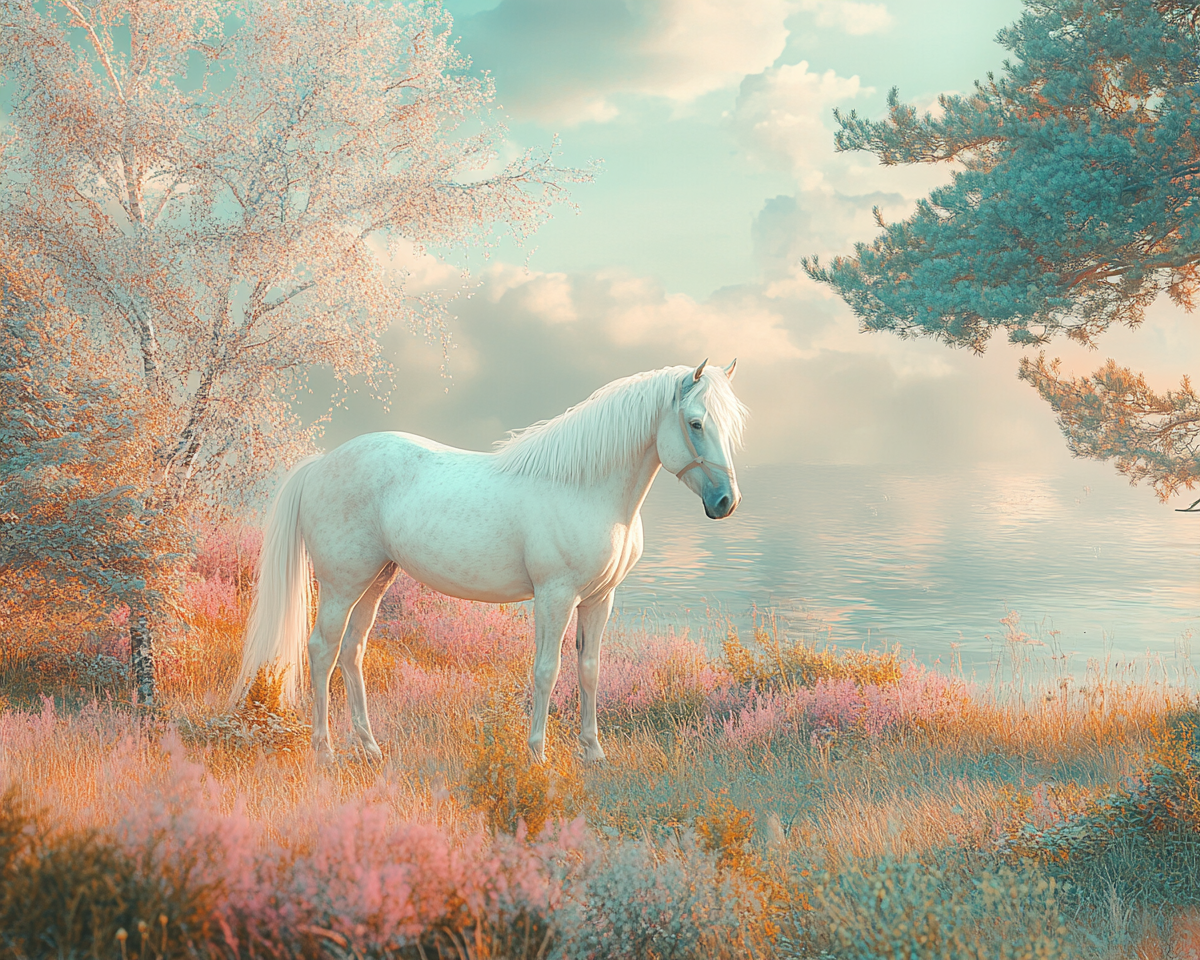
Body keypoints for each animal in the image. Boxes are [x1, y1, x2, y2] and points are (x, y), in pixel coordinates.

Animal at [229, 360, 744, 763]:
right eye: (696, 423)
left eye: (728, 426)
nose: (726, 502)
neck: (584, 488)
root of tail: (321, 463)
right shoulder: (555, 597)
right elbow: (547, 671)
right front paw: (537, 754)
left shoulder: (600, 599)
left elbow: (590, 669)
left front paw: (593, 752)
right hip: (341, 584)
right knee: (322, 650)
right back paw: (325, 750)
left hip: (376, 580)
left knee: (352, 651)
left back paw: (369, 746)